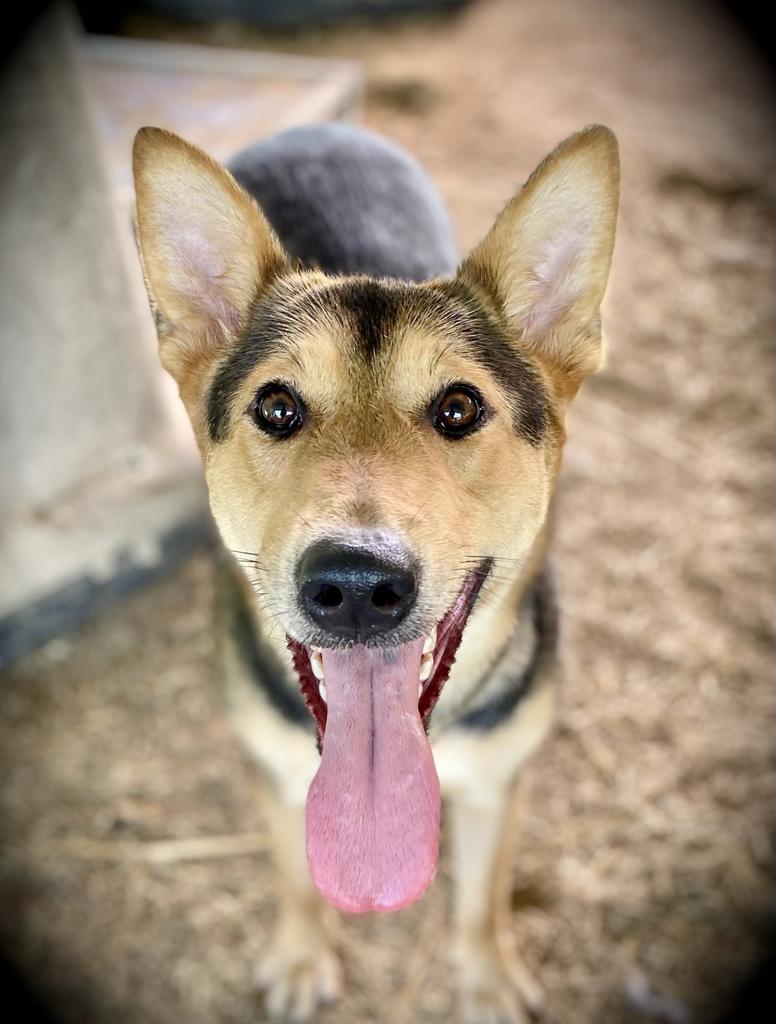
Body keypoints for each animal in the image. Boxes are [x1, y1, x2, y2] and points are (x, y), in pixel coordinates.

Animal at [132, 121, 618, 1024]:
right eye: (276, 407)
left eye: (459, 408)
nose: (356, 586)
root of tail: (316, 125)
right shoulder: (278, 775)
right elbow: (296, 878)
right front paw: (300, 955)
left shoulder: (499, 781)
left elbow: (481, 899)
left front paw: (487, 980)